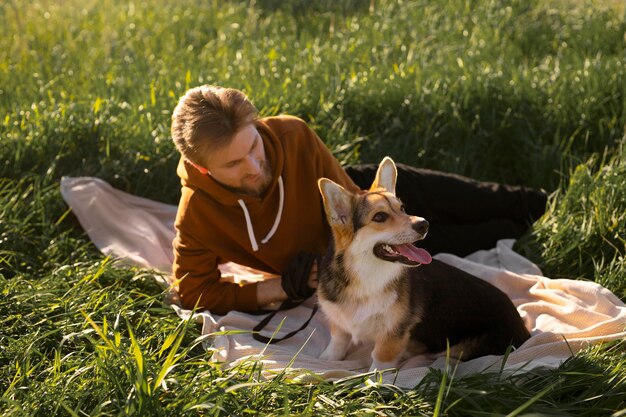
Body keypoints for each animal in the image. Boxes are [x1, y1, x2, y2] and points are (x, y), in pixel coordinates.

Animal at [316, 157, 528, 370]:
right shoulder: (339, 321)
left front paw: (373, 376)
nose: (424, 224)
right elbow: (338, 340)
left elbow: (380, 359)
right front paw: (326, 360)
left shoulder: (392, 334)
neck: (367, 277)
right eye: (380, 217)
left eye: (402, 208)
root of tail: (524, 330)